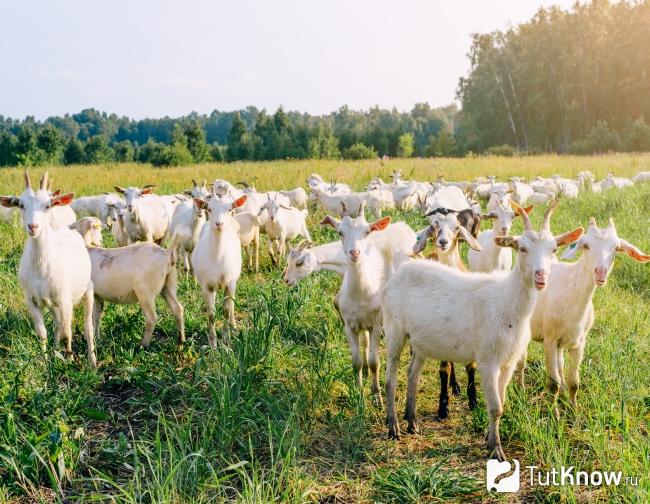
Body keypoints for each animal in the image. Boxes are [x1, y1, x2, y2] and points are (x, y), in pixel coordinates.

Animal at [382, 201, 583, 460]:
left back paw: (412, 421)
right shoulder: (488, 361)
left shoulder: (508, 362)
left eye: (553, 249)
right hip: (394, 329)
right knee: (391, 378)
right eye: (522, 248)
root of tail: (400, 271)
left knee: (412, 374)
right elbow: (495, 407)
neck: (508, 303)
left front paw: (489, 438)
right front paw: (496, 449)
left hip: (420, 341)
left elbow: (502, 403)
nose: (541, 276)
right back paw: (393, 426)